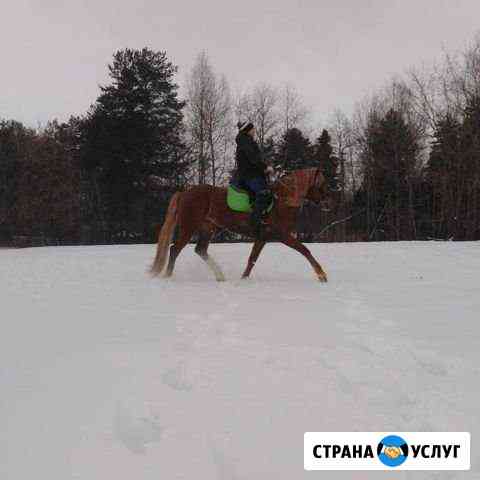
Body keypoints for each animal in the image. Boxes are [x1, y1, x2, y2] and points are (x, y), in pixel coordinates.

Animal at [150, 168, 334, 282]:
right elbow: (304, 250)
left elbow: (252, 260)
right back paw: (168, 277)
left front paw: (243, 279)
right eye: (322, 184)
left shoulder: (262, 238)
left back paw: (220, 276)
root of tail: (184, 193)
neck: (282, 200)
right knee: (175, 249)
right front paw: (322, 275)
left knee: (200, 250)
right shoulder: (282, 235)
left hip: (208, 228)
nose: (329, 201)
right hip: (189, 227)